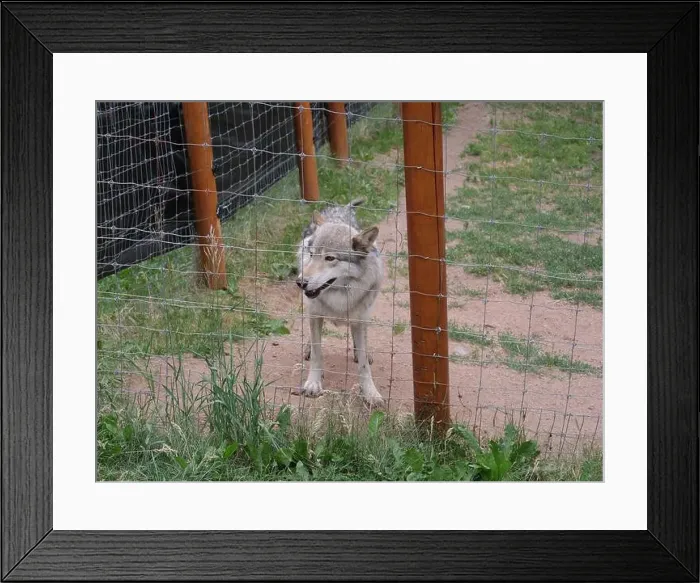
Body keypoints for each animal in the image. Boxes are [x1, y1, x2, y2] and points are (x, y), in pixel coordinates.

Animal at [295, 198, 384, 406]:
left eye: (330, 258)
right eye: (312, 254)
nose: (301, 282)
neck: (339, 296)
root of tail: (340, 208)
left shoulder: (360, 319)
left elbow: (364, 366)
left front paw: (370, 393)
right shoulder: (315, 314)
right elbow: (317, 354)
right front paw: (313, 384)